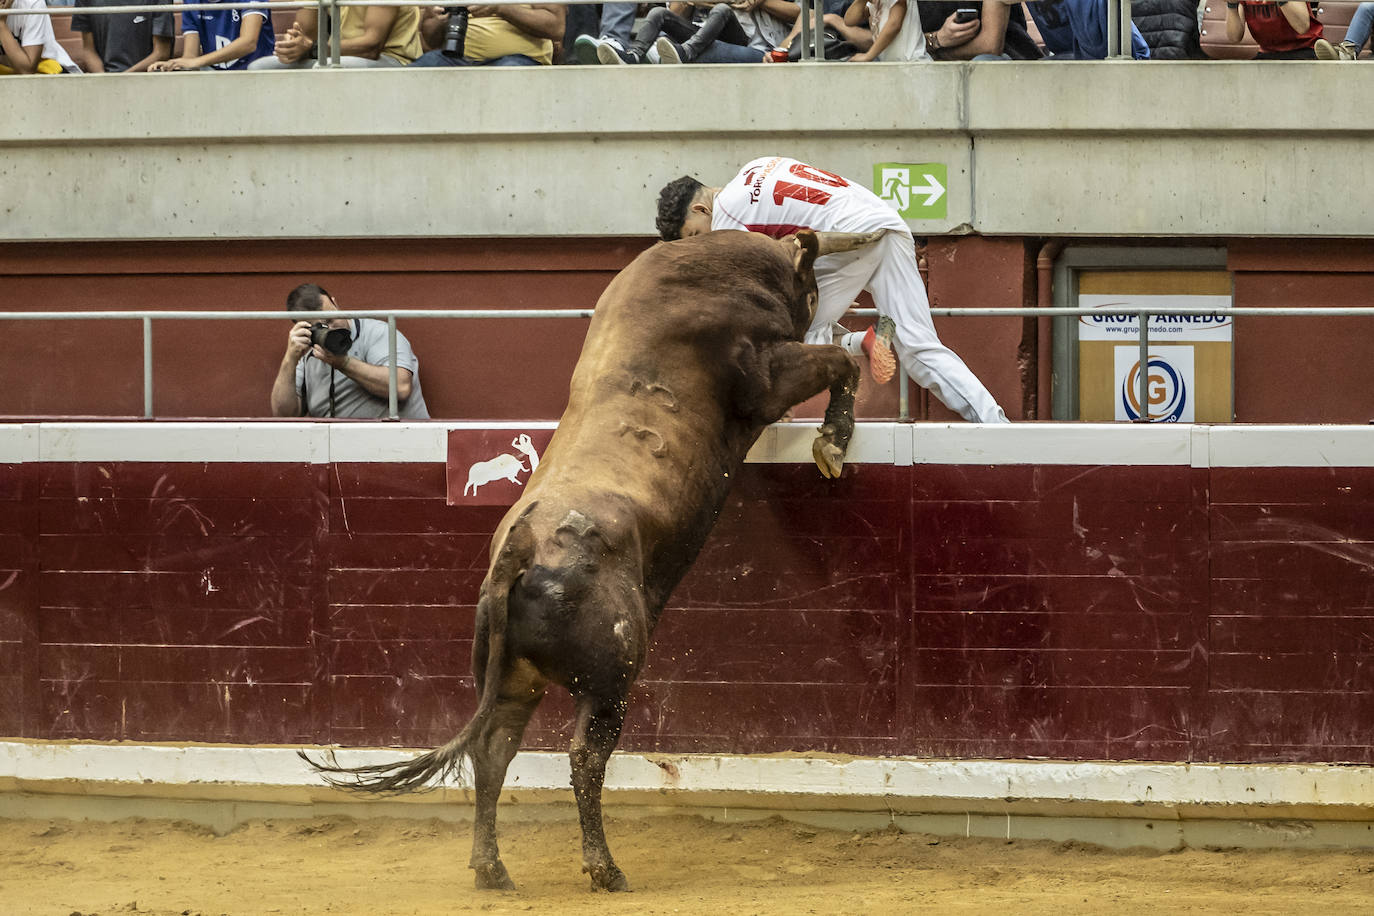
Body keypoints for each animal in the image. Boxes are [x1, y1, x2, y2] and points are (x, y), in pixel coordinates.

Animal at [300, 229, 879, 895]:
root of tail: (522, 549)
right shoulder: (762, 376)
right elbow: (837, 363)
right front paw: (833, 439)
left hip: (512, 678)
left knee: (493, 751)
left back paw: (491, 867)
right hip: (612, 679)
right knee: (584, 756)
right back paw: (604, 867)